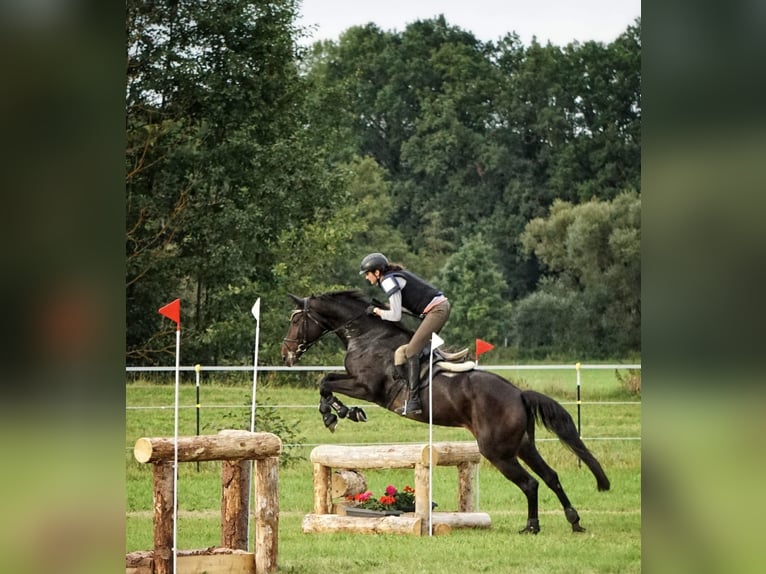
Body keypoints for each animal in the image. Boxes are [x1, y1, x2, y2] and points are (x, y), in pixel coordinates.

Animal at [282, 292, 612, 536]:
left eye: (297, 319)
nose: (286, 354)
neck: (366, 335)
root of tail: (518, 393)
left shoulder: (368, 387)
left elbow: (325, 381)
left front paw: (337, 413)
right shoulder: (357, 382)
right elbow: (327, 379)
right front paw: (341, 411)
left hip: (497, 450)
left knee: (530, 483)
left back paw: (532, 527)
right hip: (522, 445)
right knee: (550, 476)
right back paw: (574, 521)